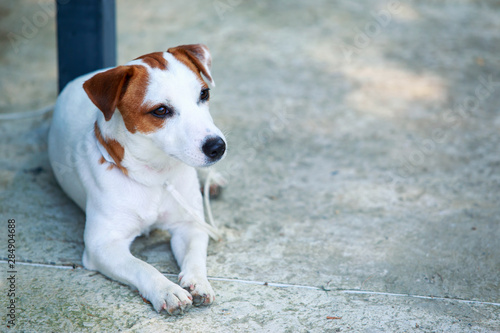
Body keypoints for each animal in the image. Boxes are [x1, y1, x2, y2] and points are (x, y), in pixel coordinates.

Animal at [47, 43, 227, 314]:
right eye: (160, 110)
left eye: (204, 94)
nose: (217, 147)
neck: (155, 175)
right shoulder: (102, 245)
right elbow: (142, 267)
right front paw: (167, 289)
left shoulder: (189, 225)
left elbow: (195, 256)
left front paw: (198, 281)